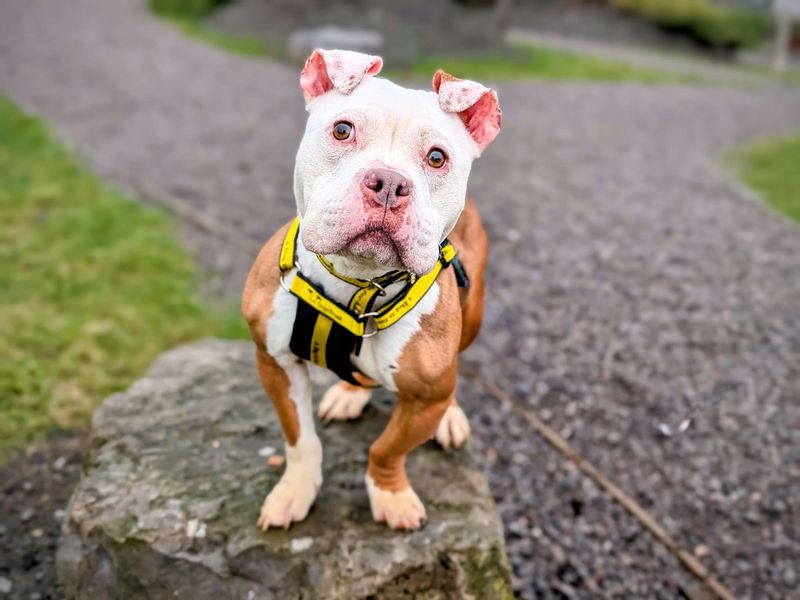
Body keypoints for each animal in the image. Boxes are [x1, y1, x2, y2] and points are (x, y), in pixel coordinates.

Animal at [241, 49, 500, 532]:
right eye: (342, 130)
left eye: (437, 157)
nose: (389, 183)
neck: (356, 284)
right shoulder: (275, 362)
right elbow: (299, 439)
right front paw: (295, 490)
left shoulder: (425, 399)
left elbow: (387, 449)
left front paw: (391, 495)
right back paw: (349, 394)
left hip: (471, 315)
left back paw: (450, 418)